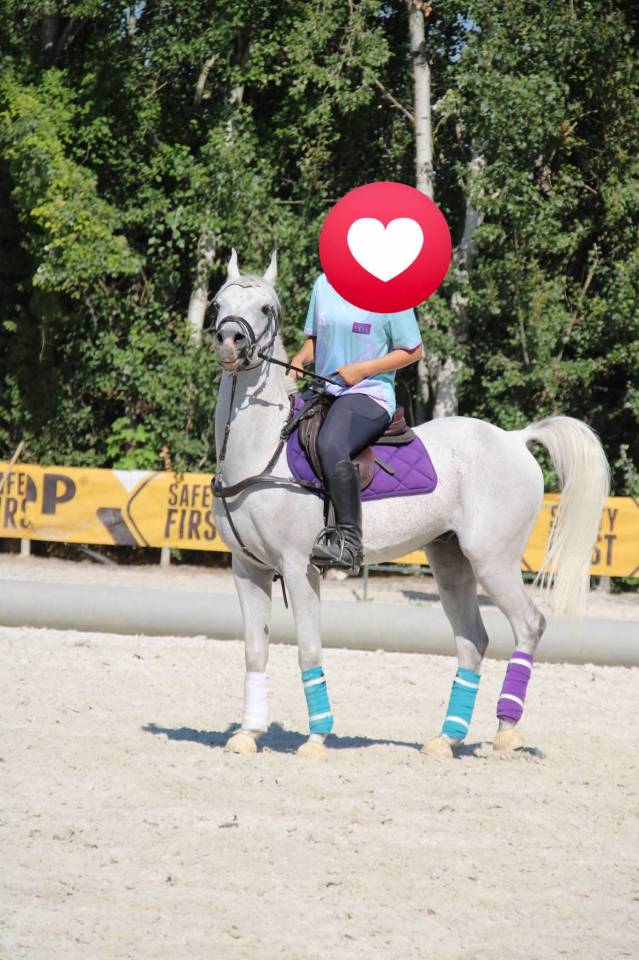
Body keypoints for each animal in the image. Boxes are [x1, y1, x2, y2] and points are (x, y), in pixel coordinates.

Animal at [208, 249, 610, 761]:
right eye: (219, 303)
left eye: (266, 308)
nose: (230, 340)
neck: (262, 448)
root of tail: (516, 438)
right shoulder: (248, 568)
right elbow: (254, 650)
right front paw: (247, 734)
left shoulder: (299, 568)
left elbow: (308, 648)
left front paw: (316, 739)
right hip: (451, 560)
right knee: (473, 640)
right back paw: (445, 739)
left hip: (492, 560)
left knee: (528, 624)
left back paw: (505, 732)